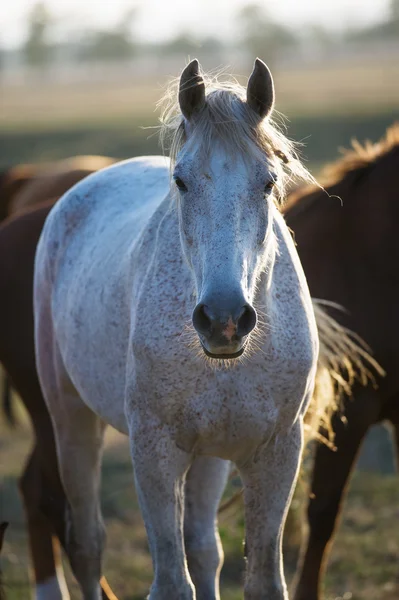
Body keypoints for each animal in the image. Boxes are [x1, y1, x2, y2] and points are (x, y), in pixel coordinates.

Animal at [34, 59, 360, 600]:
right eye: (181, 182)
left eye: (268, 182)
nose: (224, 319)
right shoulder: (154, 450)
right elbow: (171, 580)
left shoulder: (276, 453)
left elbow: (261, 578)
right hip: (71, 420)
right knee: (87, 545)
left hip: (210, 457)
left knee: (205, 548)